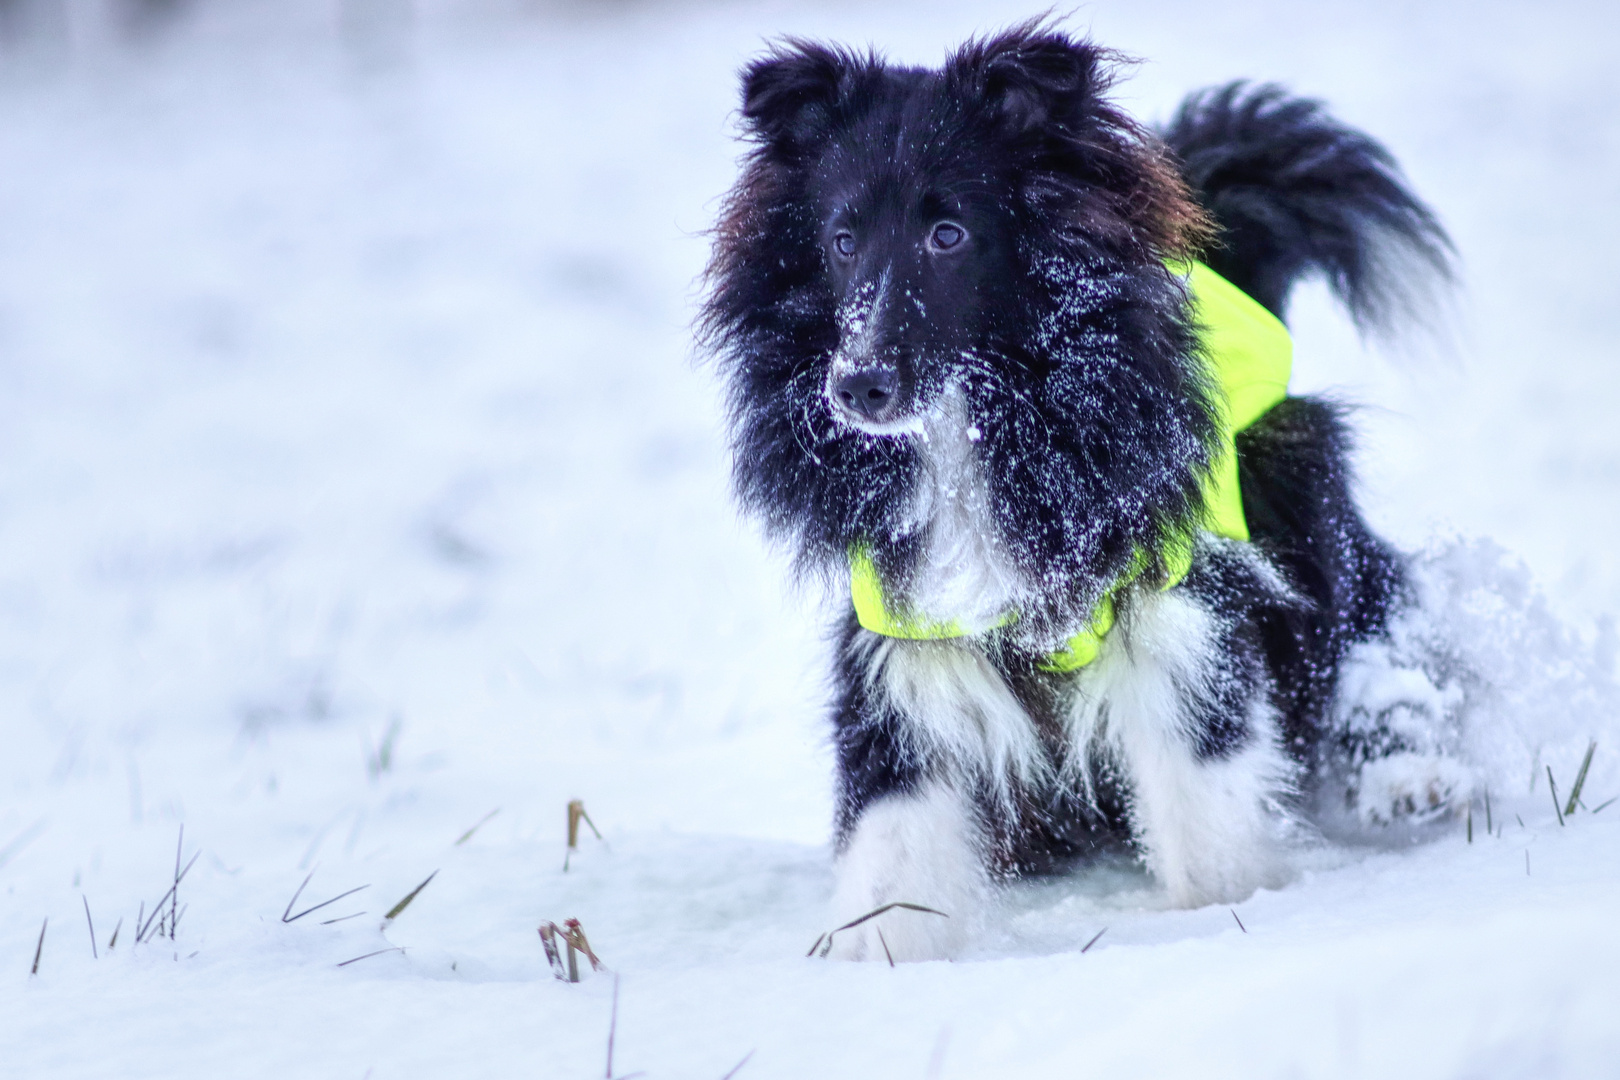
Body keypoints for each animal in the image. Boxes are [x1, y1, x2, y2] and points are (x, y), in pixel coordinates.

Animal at [703, 21, 1464, 958]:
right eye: (841, 240)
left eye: (948, 233)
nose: (857, 387)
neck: (974, 432)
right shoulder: (905, 616)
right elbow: (894, 815)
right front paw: (879, 953)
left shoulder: (1173, 588)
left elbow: (1202, 775)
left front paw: (1227, 909)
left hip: (1299, 485)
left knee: (1363, 629)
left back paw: (1409, 776)